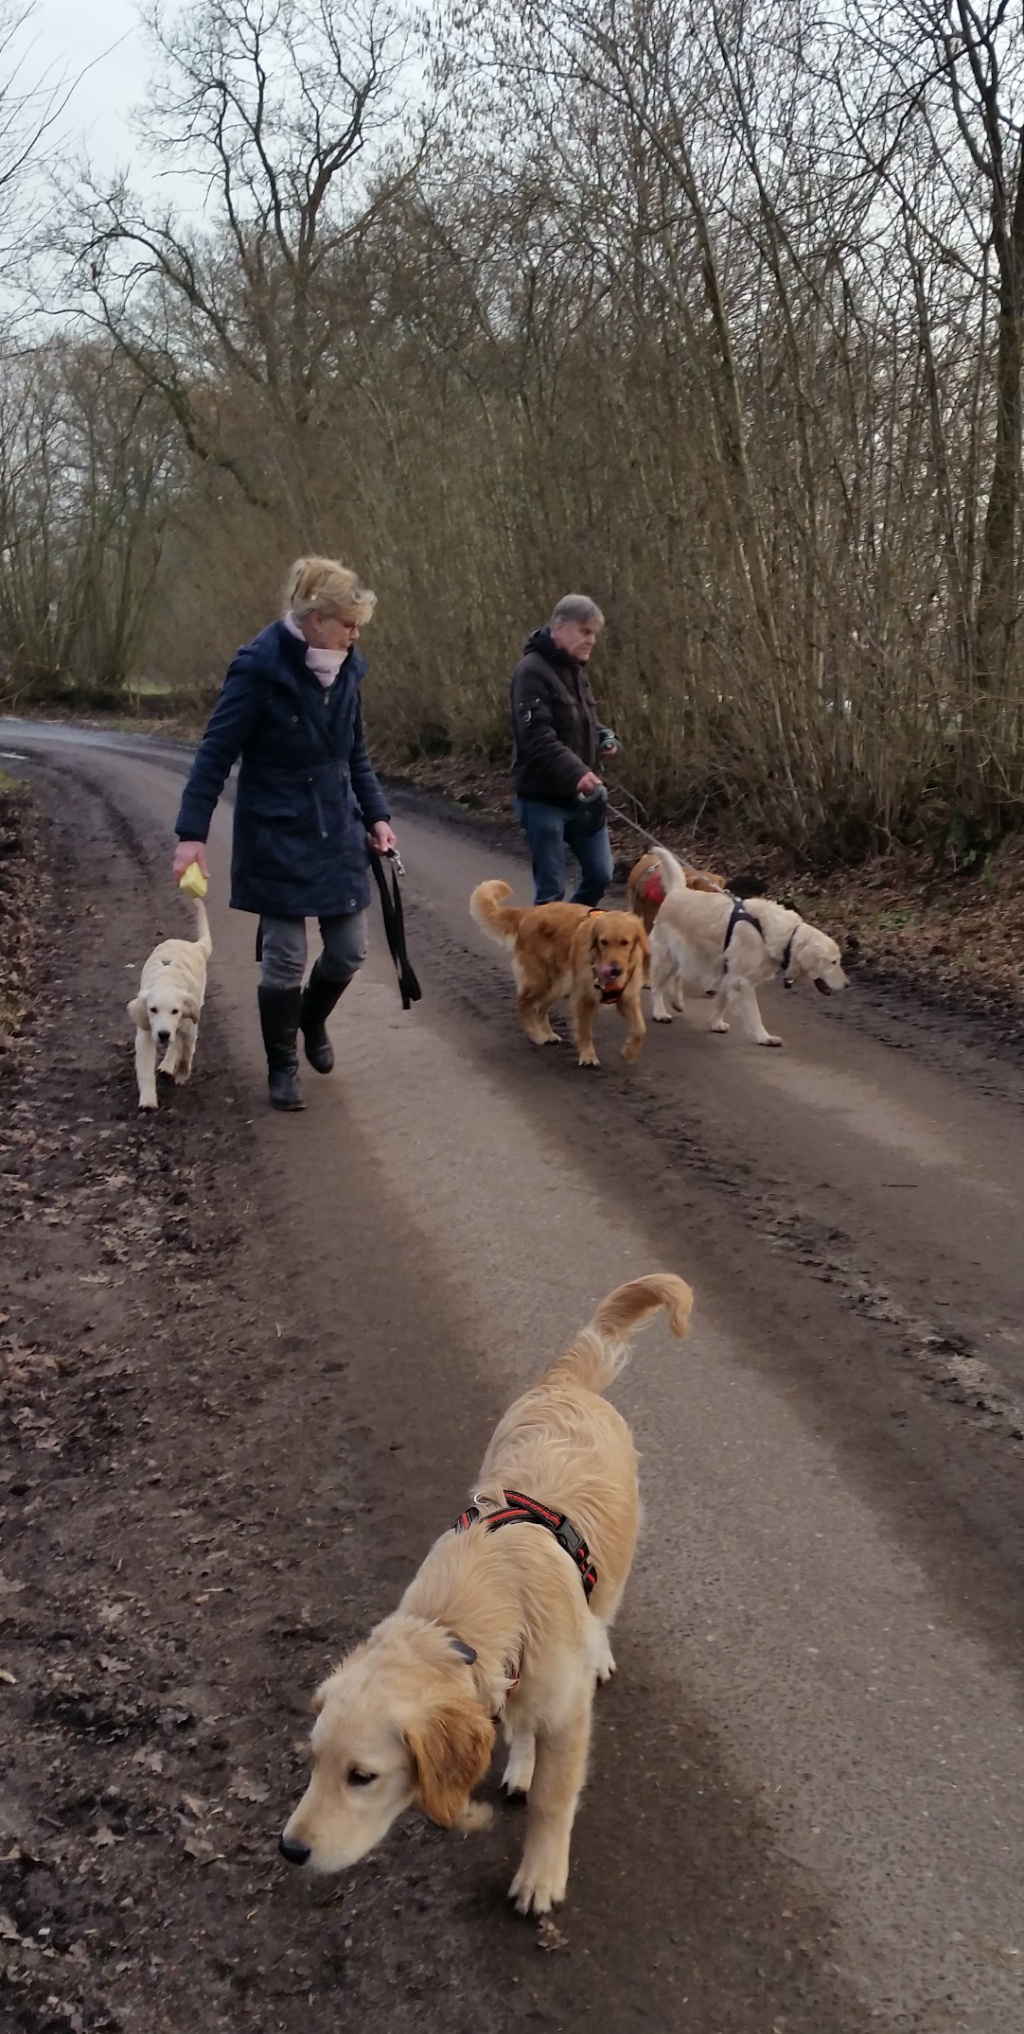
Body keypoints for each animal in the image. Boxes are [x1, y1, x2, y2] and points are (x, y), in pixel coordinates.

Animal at [127, 899, 212, 1110]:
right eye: (153, 1010)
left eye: (175, 1010)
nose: (163, 1034)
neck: (167, 979)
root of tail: (194, 946)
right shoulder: (146, 1033)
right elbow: (145, 1069)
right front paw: (148, 1100)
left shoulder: (189, 1025)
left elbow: (187, 1052)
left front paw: (182, 1073)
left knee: (178, 1043)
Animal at [279, 1272, 694, 1915]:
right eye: (314, 1760)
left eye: (362, 1777)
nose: (290, 1850)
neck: (465, 1615)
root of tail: (566, 1384)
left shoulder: (569, 1714)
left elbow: (554, 1798)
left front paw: (541, 1874)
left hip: (620, 1559)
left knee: (603, 1613)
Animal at [470, 880, 649, 1067]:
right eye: (603, 942)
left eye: (625, 942)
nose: (614, 970)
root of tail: (529, 912)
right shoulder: (584, 998)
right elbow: (585, 1030)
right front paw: (588, 1055)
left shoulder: (627, 997)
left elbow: (640, 1029)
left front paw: (629, 1052)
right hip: (540, 980)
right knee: (522, 1002)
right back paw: (536, 1034)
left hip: (558, 985)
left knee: (540, 1008)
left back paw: (548, 1033)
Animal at [648, 849, 847, 1045]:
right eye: (833, 962)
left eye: (838, 961)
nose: (847, 984)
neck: (779, 935)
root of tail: (677, 890)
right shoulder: (742, 980)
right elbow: (754, 1014)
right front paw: (764, 1037)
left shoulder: (728, 973)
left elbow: (721, 1001)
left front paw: (716, 1023)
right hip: (666, 956)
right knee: (657, 987)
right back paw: (660, 1012)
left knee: (677, 975)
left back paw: (677, 1002)